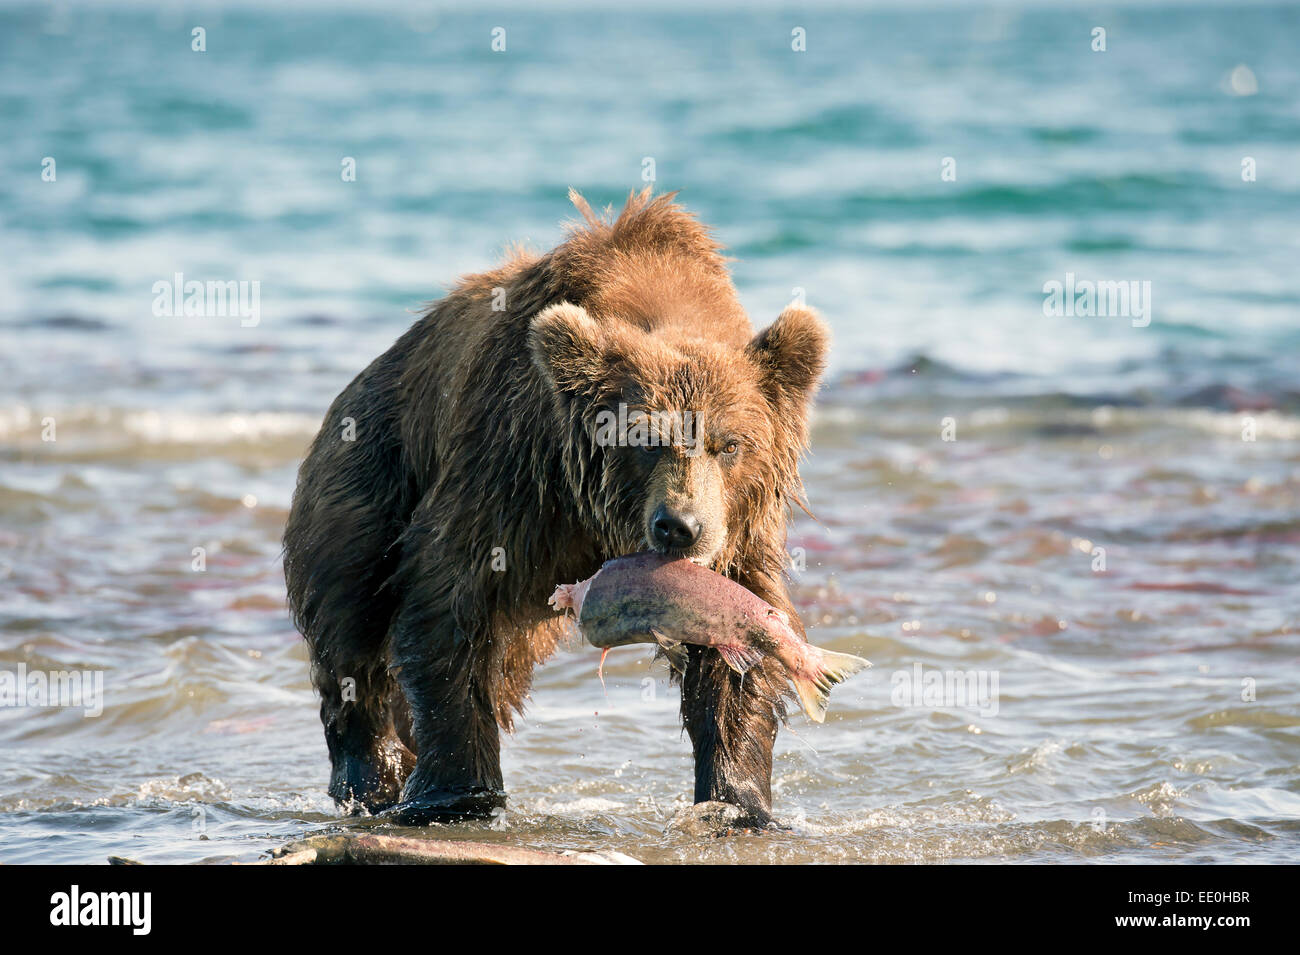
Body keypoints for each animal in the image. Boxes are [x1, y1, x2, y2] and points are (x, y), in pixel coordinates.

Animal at [286, 188, 832, 831]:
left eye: (730, 445)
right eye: (642, 439)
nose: (679, 528)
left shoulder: (737, 534)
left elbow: (736, 641)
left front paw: (737, 800)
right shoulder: (512, 476)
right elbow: (449, 602)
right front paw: (455, 792)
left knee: (499, 664)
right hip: (366, 478)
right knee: (351, 628)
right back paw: (373, 776)